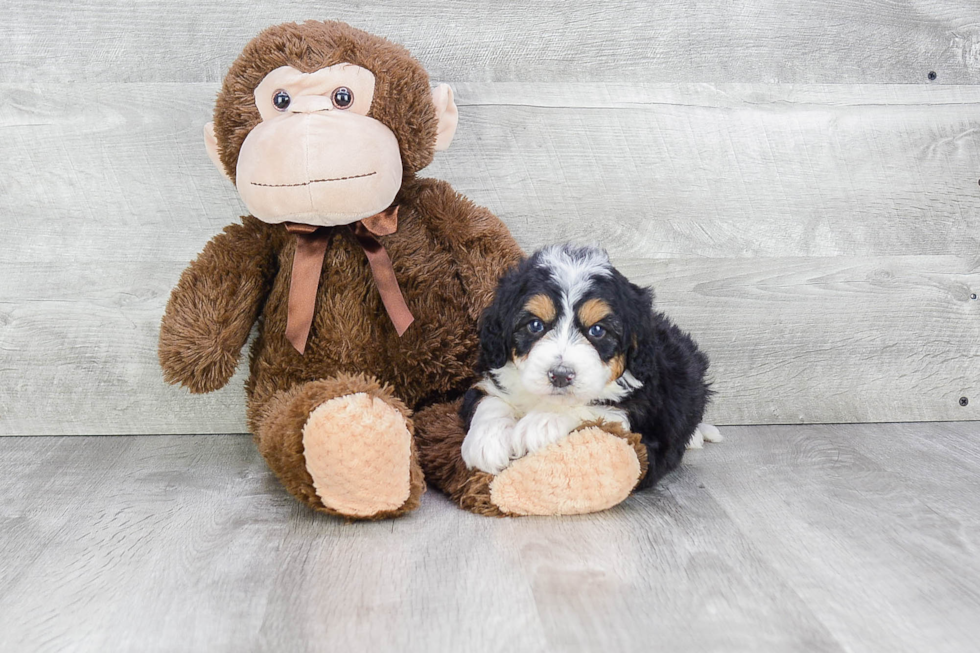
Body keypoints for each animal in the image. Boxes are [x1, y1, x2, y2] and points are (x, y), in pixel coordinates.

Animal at [460, 244, 720, 488]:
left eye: (597, 330)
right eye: (535, 325)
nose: (560, 375)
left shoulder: (642, 422)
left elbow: (596, 409)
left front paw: (540, 423)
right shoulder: (488, 379)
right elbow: (490, 400)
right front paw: (487, 440)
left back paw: (697, 435)